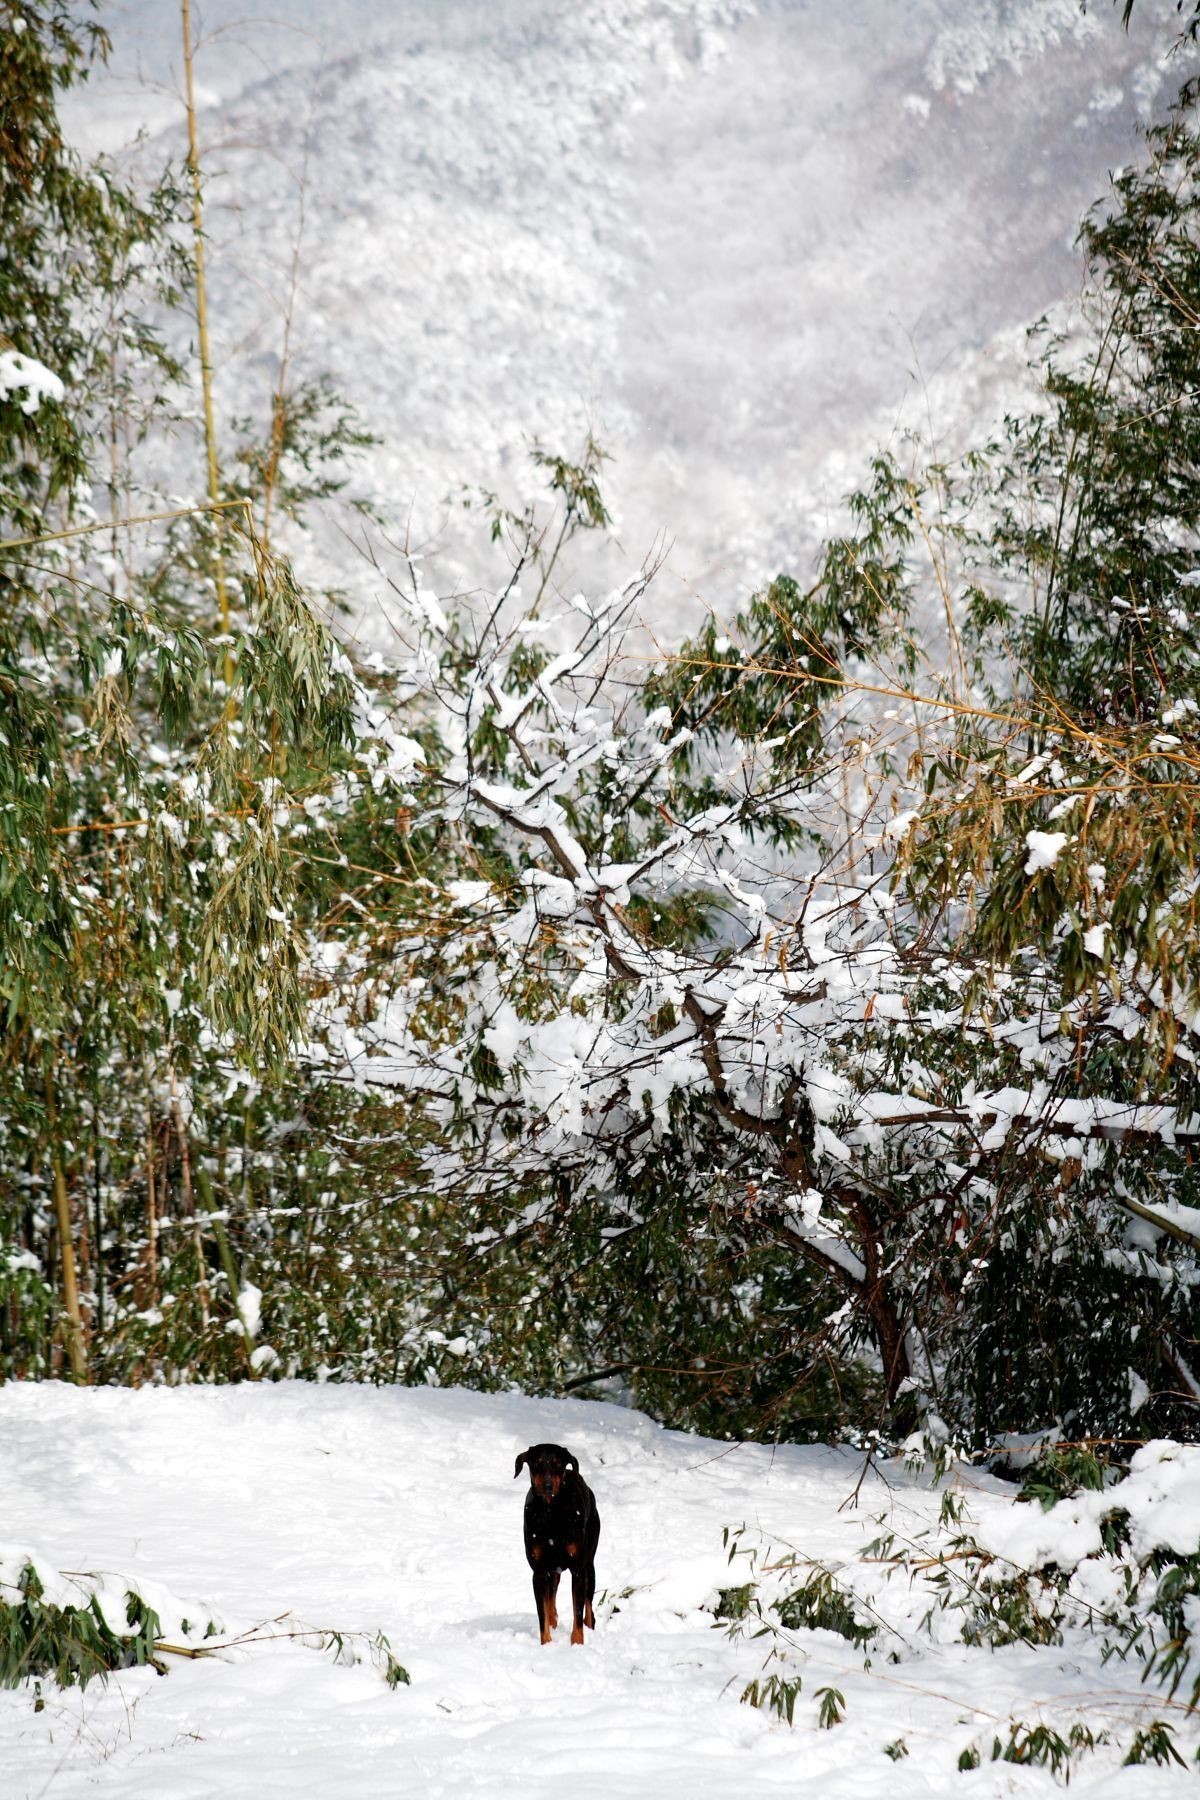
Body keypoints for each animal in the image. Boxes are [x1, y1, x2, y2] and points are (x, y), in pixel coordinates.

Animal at [514, 1432, 600, 1648]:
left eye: (558, 1463)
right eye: (536, 1462)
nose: (547, 1485)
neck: (550, 1514)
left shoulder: (578, 1569)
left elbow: (578, 1610)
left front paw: (577, 1643)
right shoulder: (538, 1570)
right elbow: (542, 1612)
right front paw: (546, 1644)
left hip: (589, 1563)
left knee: (588, 1607)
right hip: (553, 1567)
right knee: (552, 1594)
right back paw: (554, 1619)